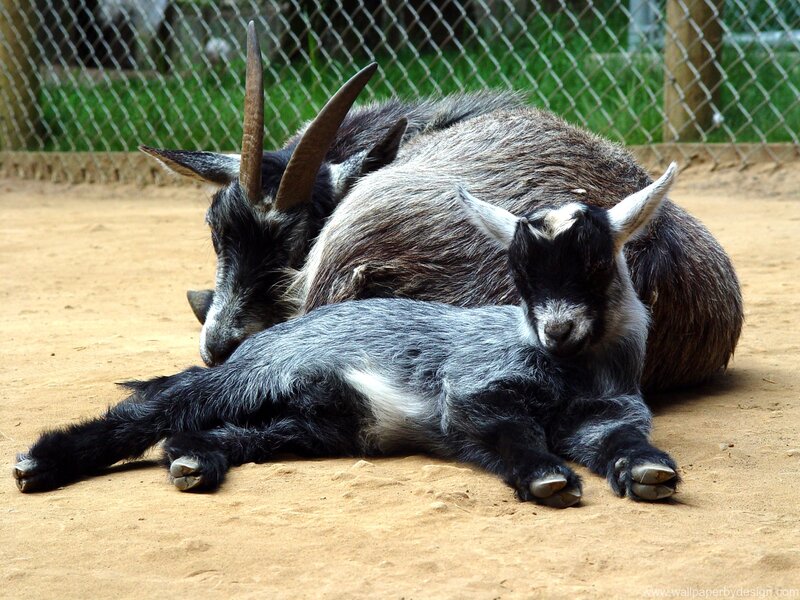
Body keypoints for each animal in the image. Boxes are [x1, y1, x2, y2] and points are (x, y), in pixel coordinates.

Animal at [14, 165, 681, 507]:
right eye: (518, 274)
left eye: (596, 263)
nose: (556, 329)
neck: (570, 372)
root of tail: (276, 332)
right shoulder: (472, 393)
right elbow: (508, 433)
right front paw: (548, 477)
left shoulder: (608, 412)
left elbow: (622, 440)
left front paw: (651, 471)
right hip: (256, 377)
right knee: (156, 407)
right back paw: (40, 464)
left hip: (324, 419)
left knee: (219, 431)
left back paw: (193, 461)